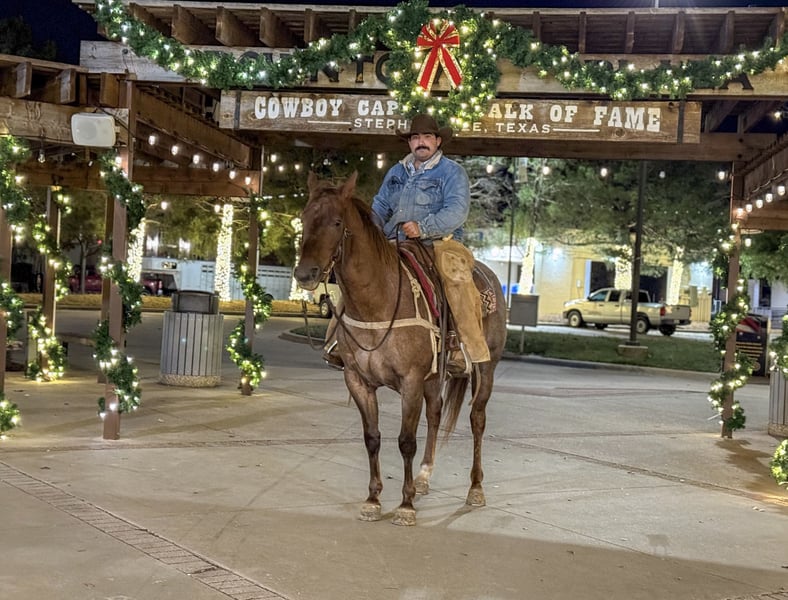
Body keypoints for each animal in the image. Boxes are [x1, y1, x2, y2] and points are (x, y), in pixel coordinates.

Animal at [294, 171, 507, 526]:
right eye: (304, 218)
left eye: (337, 222)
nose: (304, 274)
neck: (377, 301)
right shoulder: (358, 381)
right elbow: (372, 438)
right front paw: (373, 499)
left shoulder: (410, 381)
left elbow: (406, 441)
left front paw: (405, 506)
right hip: (434, 379)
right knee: (435, 414)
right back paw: (423, 477)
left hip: (485, 368)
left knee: (477, 419)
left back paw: (475, 488)